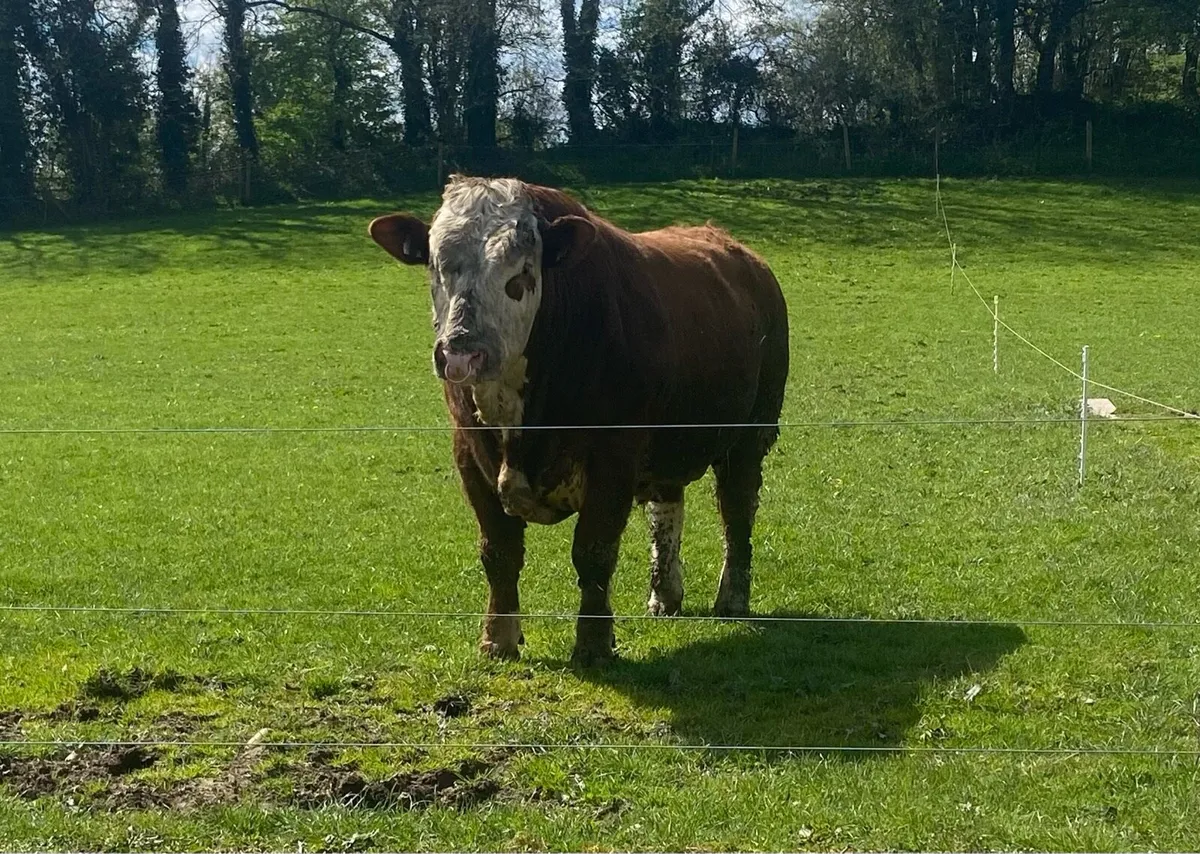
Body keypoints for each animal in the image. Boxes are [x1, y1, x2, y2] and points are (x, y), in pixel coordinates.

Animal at [368, 175, 789, 665]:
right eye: (436, 265)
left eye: (522, 270)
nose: (461, 351)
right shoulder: (469, 454)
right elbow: (499, 552)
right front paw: (498, 638)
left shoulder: (615, 455)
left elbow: (594, 551)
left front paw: (593, 644)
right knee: (666, 512)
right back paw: (665, 595)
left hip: (750, 436)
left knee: (737, 512)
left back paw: (731, 597)